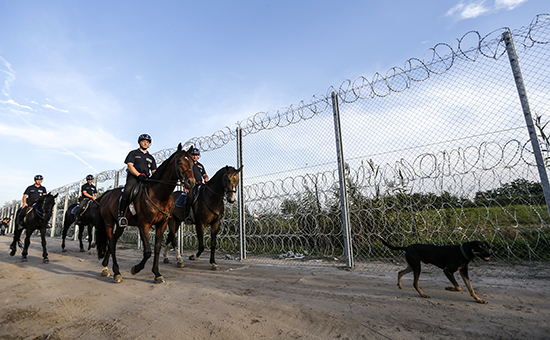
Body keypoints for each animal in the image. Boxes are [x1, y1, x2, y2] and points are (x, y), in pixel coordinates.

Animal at [96, 143, 195, 284]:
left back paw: (105, 267)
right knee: (111, 242)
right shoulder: (144, 224)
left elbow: (157, 248)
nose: (191, 182)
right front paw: (136, 269)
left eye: (192, 162)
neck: (159, 194)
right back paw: (117, 273)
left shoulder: (162, 225)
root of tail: (106, 195)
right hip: (109, 223)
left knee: (113, 242)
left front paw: (157, 274)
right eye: (180, 161)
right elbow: (147, 251)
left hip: (120, 226)